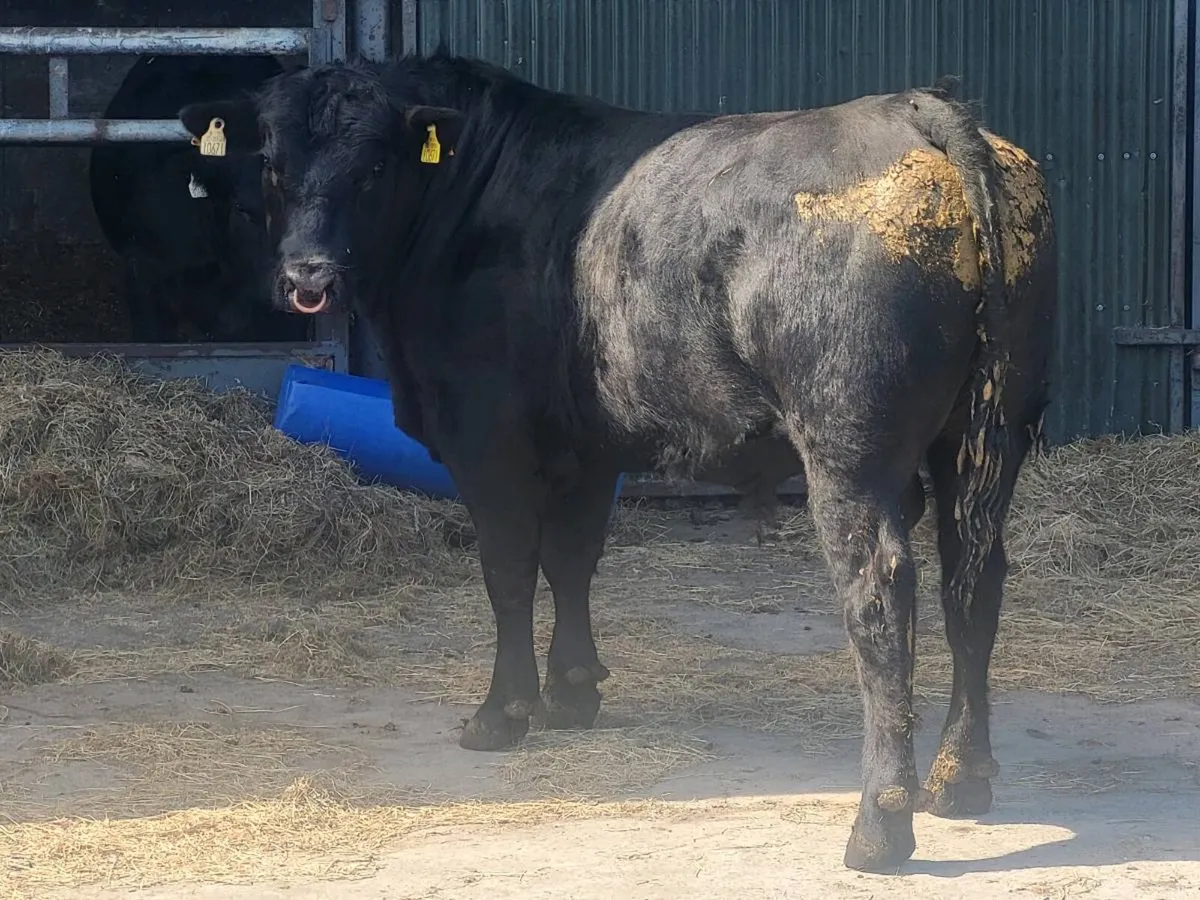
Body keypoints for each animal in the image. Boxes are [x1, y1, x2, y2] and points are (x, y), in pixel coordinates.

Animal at [178, 51, 1057, 873]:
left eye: (373, 166)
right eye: (272, 164)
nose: (308, 274)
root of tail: (912, 109)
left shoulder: (485, 437)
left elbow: (508, 570)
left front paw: (501, 713)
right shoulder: (589, 445)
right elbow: (572, 560)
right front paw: (572, 692)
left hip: (850, 448)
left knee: (879, 594)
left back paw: (880, 824)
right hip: (989, 437)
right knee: (975, 579)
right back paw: (959, 777)